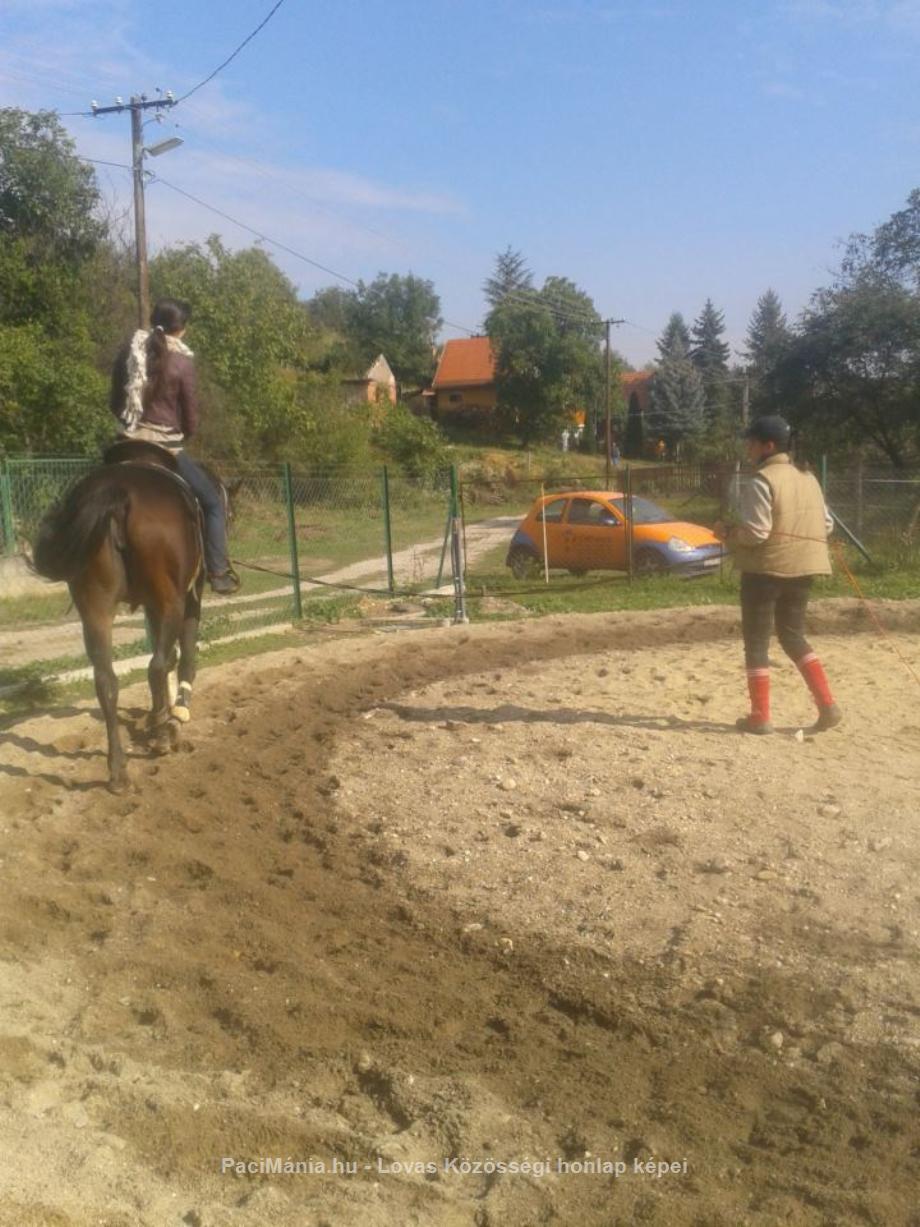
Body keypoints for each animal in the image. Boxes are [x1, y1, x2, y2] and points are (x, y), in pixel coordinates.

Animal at [32, 441, 207, 795]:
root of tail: (116, 491)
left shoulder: (152, 606)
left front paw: (161, 712)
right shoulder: (186, 599)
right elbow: (182, 658)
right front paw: (174, 715)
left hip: (96, 608)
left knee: (106, 681)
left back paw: (118, 771)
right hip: (171, 602)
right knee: (156, 666)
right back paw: (161, 736)